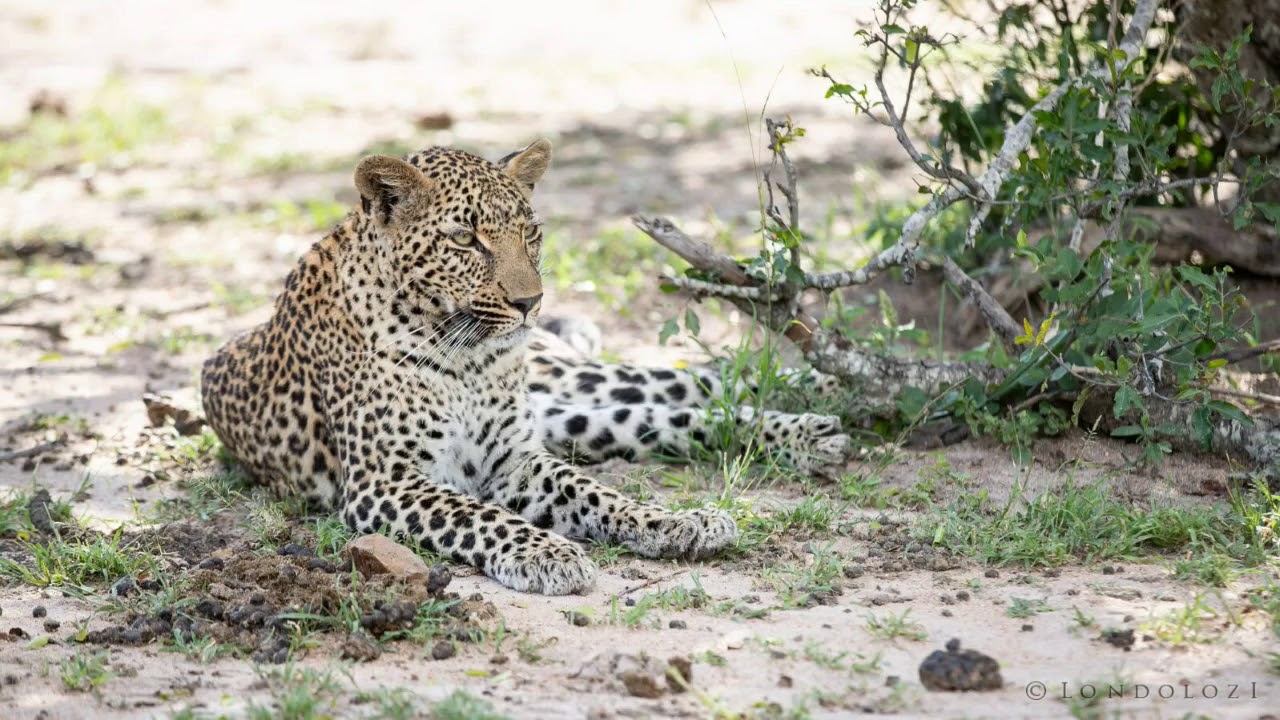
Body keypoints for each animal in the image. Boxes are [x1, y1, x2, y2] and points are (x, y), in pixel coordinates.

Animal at [201, 139, 848, 596]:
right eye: (465, 239)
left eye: (530, 232)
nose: (530, 302)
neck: (467, 359)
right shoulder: (385, 481)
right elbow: (480, 514)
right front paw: (548, 553)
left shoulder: (512, 457)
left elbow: (594, 492)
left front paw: (660, 521)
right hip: (569, 415)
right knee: (661, 414)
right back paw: (813, 430)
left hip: (563, 383)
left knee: (682, 382)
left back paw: (824, 400)